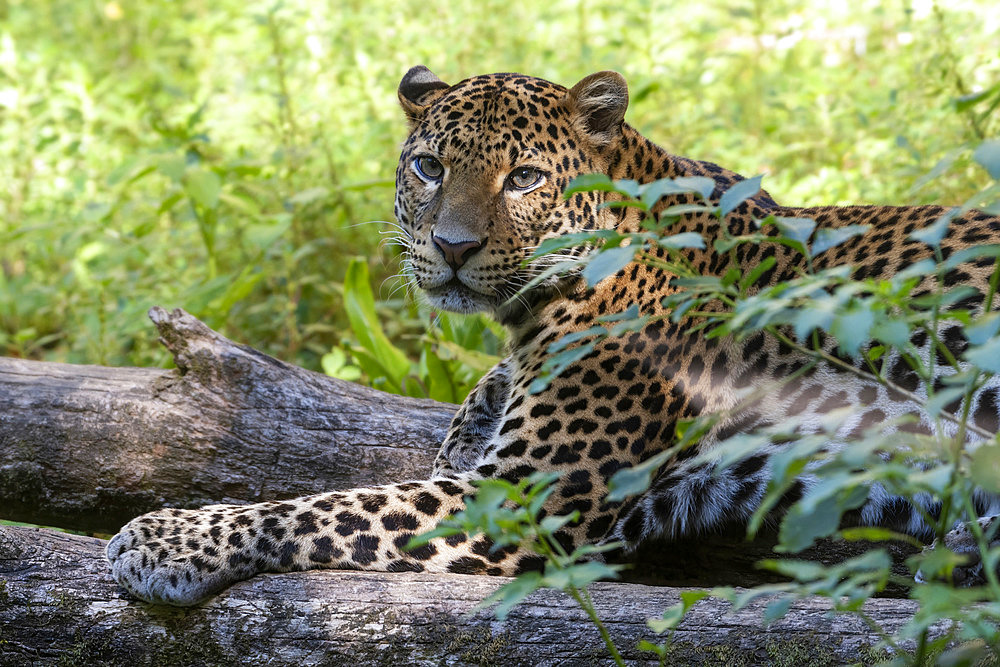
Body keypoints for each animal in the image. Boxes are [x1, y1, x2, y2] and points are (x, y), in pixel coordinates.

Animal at [107, 66, 1000, 604]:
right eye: (430, 166)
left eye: (525, 178)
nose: (453, 247)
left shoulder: (518, 499)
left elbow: (322, 507)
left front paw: (161, 538)